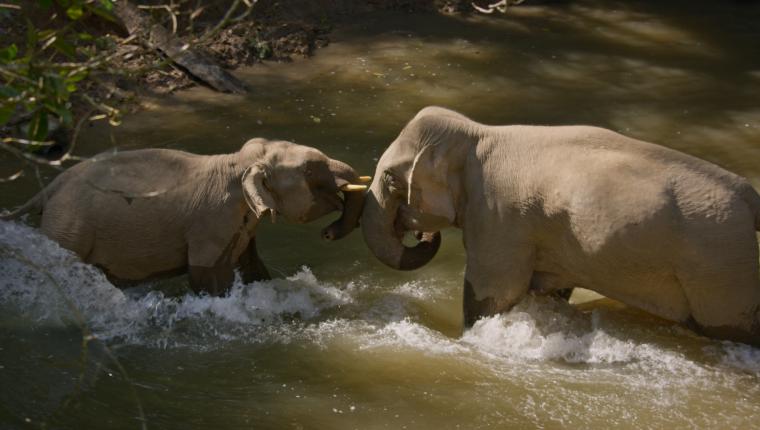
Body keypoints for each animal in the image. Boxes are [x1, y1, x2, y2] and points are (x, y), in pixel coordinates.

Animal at [0, 138, 368, 296]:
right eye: (310, 170)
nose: (327, 234)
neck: (237, 164)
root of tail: (50, 188)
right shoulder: (210, 222)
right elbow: (206, 274)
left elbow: (253, 268)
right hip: (68, 228)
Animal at [360, 106, 760, 346]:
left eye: (391, 179)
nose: (422, 232)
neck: (478, 133)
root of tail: (748, 195)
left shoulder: (499, 217)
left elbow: (493, 293)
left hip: (719, 268)